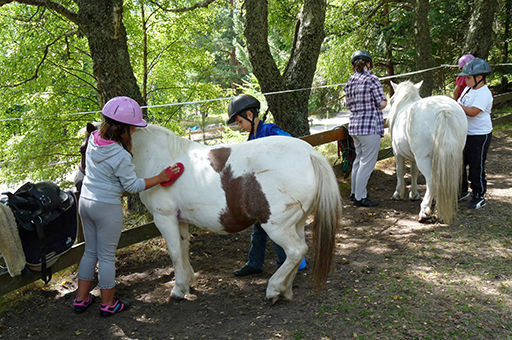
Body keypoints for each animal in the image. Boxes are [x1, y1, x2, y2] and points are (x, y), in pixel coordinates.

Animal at [129, 124, 340, 300]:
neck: (159, 157)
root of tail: (309, 152)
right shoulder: (179, 219)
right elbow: (183, 249)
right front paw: (188, 282)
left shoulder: (164, 218)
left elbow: (174, 254)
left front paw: (178, 289)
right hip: (296, 222)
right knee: (298, 253)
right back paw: (285, 290)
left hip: (277, 226)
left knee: (296, 251)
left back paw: (274, 288)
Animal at [388, 80, 468, 224]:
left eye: (391, 100)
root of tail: (444, 110)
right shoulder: (413, 157)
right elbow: (413, 171)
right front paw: (414, 194)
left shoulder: (398, 153)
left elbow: (400, 171)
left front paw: (398, 193)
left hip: (423, 159)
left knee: (432, 180)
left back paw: (424, 211)